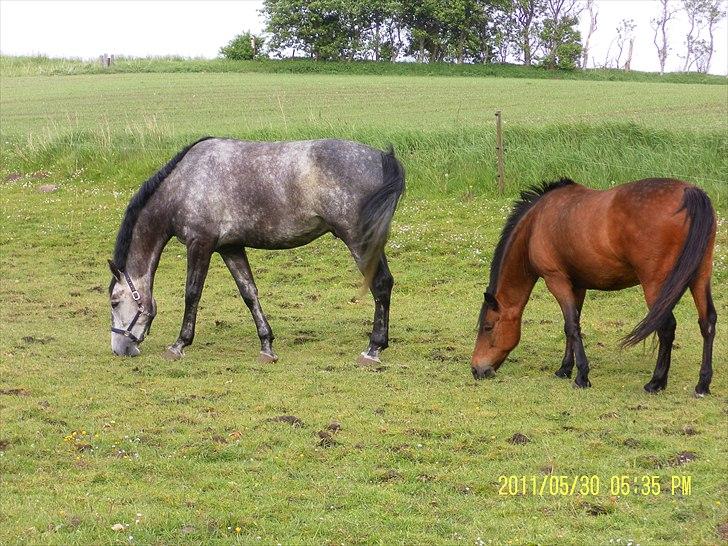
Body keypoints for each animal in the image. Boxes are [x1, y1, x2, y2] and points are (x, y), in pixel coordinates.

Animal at [109, 138, 404, 364]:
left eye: (114, 301)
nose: (120, 349)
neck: (185, 183)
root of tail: (383, 158)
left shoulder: (200, 244)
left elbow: (192, 294)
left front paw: (179, 345)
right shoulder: (230, 247)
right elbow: (249, 293)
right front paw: (267, 346)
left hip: (358, 240)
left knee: (380, 284)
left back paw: (373, 350)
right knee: (385, 283)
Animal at [472, 178, 716, 396]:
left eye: (488, 327)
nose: (476, 370)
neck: (536, 223)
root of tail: (690, 192)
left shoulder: (556, 279)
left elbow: (571, 325)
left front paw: (582, 376)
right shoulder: (577, 285)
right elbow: (572, 325)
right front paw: (565, 369)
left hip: (656, 285)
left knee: (666, 327)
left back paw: (656, 383)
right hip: (700, 276)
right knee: (707, 322)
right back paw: (702, 385)